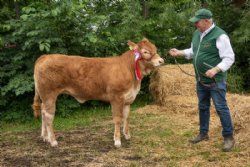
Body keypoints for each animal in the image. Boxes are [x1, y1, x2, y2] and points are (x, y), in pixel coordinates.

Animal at [32, 38, 164, 147]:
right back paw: (53, 141)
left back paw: (45, 137)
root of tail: (45, 56)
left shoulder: (128, 99)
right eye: (145, 52)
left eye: (155, 49)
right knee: (48, 115)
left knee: (43, 111)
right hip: (49, 94)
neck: (129, 69)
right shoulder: (116, 98)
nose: (161, 61)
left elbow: (126, 117)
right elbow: (118, 118)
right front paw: (117, 141)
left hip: (45, 96)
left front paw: (127, 135)